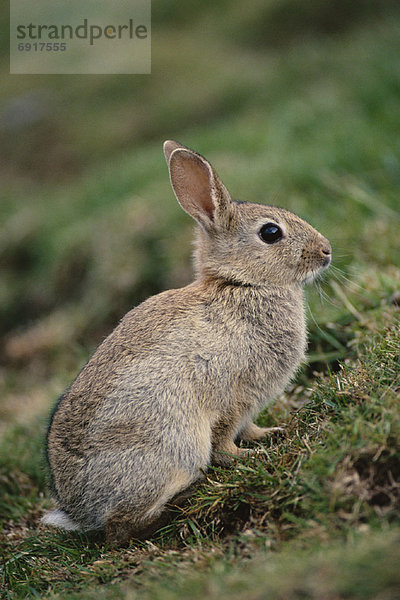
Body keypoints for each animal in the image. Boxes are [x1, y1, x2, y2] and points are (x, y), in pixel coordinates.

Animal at [43, 139, 332, 544]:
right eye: (271, 233)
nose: (326, 250)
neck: (241, 284)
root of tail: (81, 510)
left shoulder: (248, 405)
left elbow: (250, 428)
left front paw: (273, 433)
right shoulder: (232, 395)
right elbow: (225, 441)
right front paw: (248, 458)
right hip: (175, 443)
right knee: (119, 530)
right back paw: (172, 508)